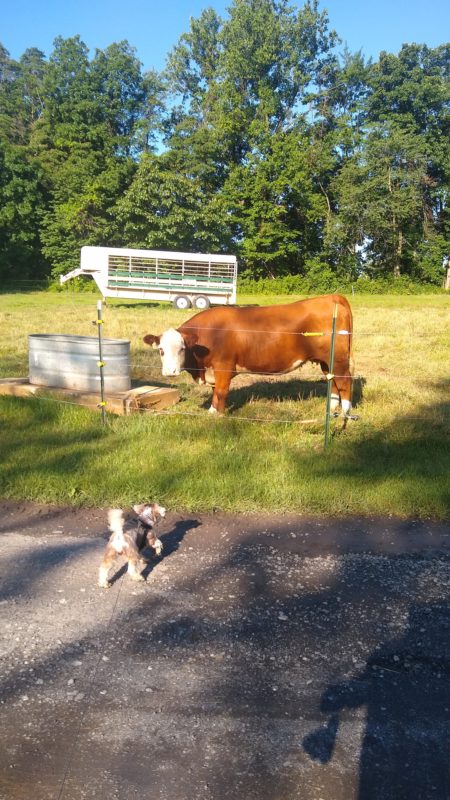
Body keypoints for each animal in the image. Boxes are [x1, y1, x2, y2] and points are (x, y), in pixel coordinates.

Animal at [143, 294, 354, 415]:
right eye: (161, 350)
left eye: (182, 348)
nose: (170, 372)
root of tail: (332, 297)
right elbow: (215, 392)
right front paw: (212, 410)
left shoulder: (223, 366)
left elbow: (221, 391)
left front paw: (218, 415)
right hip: (327, 361)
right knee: (333, 381)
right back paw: (333, 408)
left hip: (339, 360)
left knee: (344, 380)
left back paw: (345, 411)